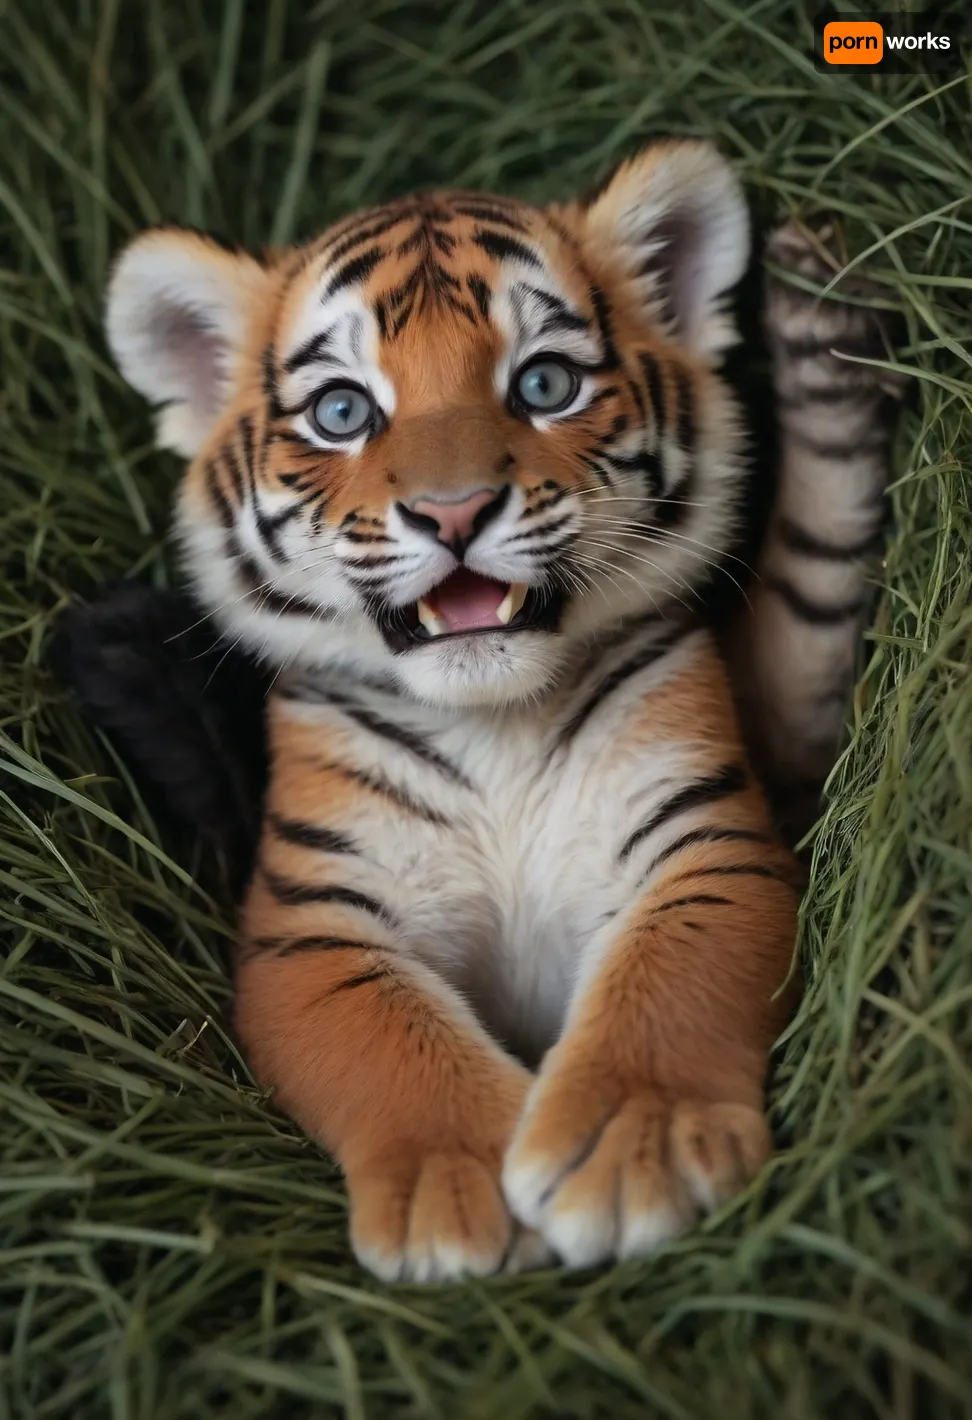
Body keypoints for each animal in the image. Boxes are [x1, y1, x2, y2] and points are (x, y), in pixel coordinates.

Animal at [102, 140, 901, 1282]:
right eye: (343, 411)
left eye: (544, 383)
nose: (454, 512)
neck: (495, 725)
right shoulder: (309, 923)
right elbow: (385, 1035)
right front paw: (465, 1180)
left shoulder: (710, 840)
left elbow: (675, 969)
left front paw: (638, 1141)